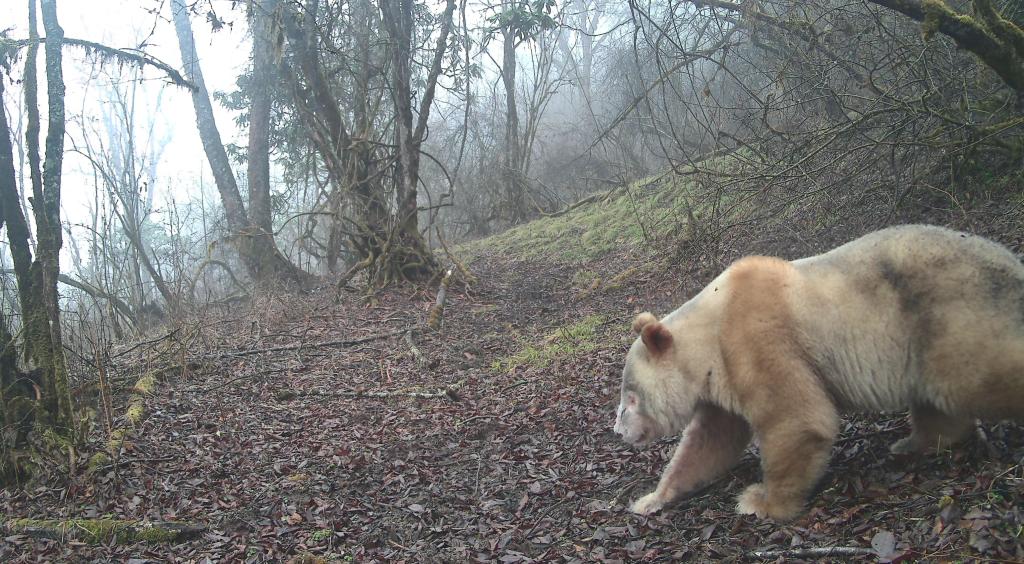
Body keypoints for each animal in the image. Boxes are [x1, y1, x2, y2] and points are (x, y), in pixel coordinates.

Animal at [612, 224, 1024, 521]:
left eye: (630, 398)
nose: (618, 431)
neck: (711, 326)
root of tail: (1011, 264)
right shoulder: (721, 374)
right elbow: (710, 441)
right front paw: (650, 499)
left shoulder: (758, 340)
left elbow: (797, 418)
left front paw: (760, 502)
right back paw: (914, 443)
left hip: (949, 310)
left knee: (980, 374)